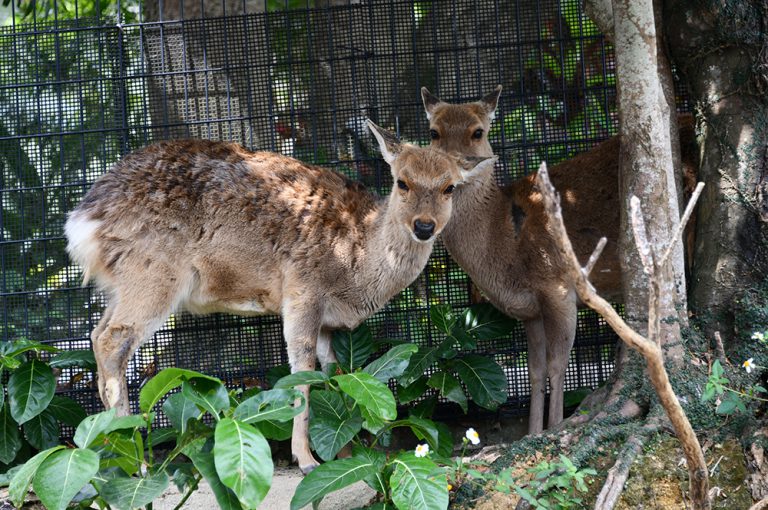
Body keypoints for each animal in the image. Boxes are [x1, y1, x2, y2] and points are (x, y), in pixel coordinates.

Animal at [67, 121, 498, 472]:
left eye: (449, 187)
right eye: (401, 182)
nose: (424, 226)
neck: (356, 265)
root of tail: (82, 221)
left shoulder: (328, 320)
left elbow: (331, 371)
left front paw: (343, 451)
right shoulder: (302, 290)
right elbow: (301, 371)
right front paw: (305, 459)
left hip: (125, 279)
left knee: (96, 334)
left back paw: (109, 448)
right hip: (154, 271)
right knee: (113, 339)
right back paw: (133, 461)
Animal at [424, 85, 700, 432]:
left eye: (478, 132)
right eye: (434, 132)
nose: (455, 167)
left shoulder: (557, 287)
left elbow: (557, 366)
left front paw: (554, 426)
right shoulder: (530, 311)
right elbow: (535, 371)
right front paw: (531, 432)